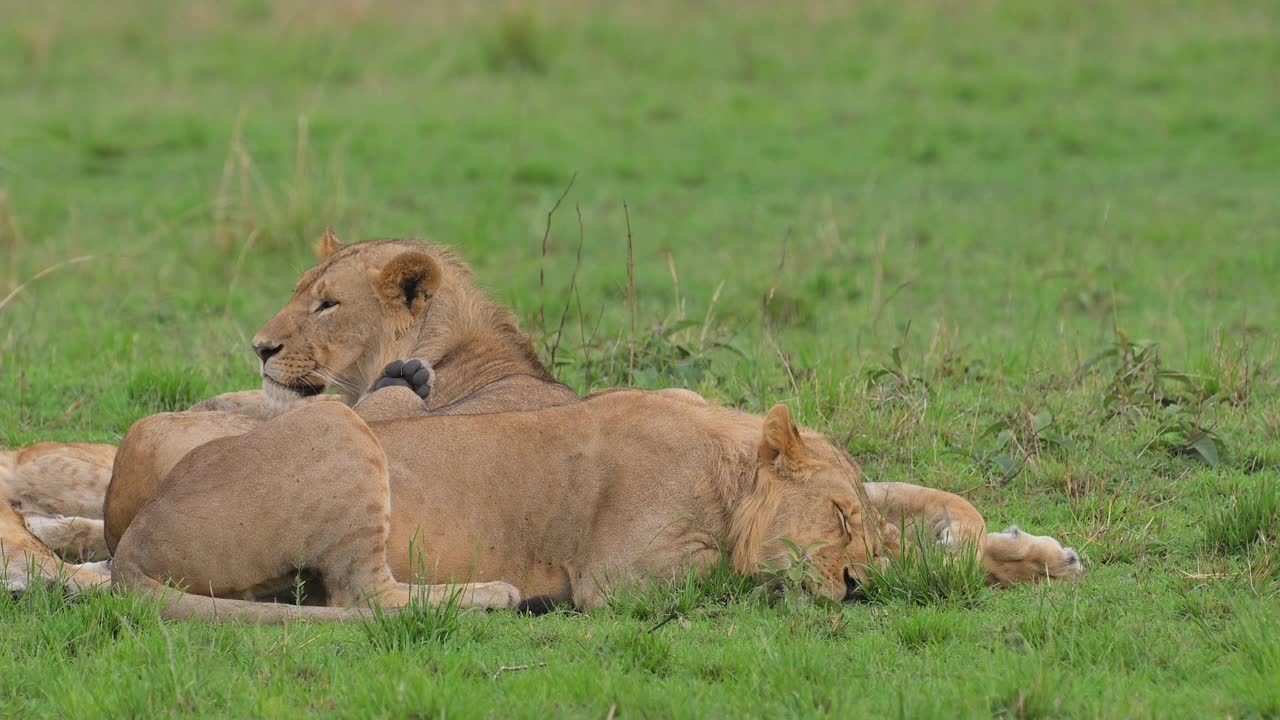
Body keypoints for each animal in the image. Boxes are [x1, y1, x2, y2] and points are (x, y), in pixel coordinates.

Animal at [107, 394, 890, 620]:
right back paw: (501, 595)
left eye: (875, 538)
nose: (860, 585)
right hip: (341, 426)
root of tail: (132, 543)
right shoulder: (621, 579)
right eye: (842, 517)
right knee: (364, 595)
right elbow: (732, 575)